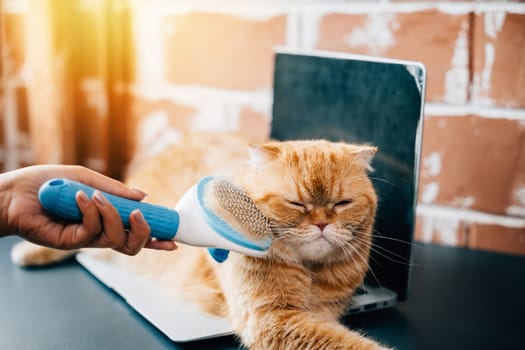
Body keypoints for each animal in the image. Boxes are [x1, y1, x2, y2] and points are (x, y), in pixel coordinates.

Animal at [11, 133, 388, 348]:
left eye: (342, 204)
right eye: (296, 203)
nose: (322, 224)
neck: (311, 271)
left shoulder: (317, 316)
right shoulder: (275, 320)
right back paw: (28, 251)